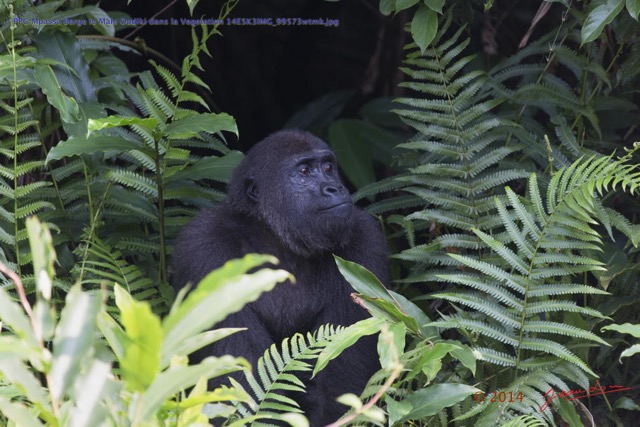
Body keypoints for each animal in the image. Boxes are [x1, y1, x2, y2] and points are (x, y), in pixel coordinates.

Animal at [171, 129, 390, 426]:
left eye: (328, 168)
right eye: (304, 171)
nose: (334, 188)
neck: (275, 236)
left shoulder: (364, 240)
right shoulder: (202, 247)